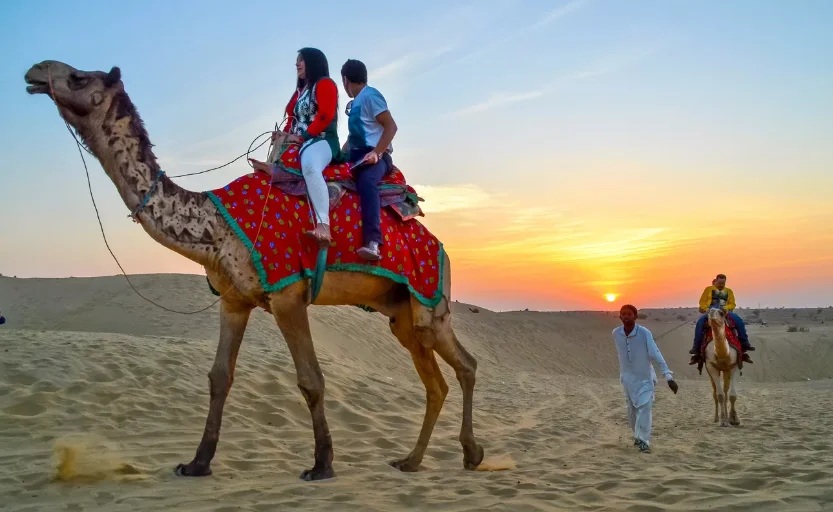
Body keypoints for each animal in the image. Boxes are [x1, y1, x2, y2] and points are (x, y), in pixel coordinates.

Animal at [24, 60, 484, 481]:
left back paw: (470, 453)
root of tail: (440, 247)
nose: (35, 71)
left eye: (79, 77)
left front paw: (322, 465)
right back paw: (412, 460)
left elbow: (311, 379)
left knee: (465, 365)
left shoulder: (287, 295)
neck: (215, 226)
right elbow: (219, 377)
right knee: (437, 382)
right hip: (400, 313)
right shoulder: (234, 300)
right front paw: (197, 463)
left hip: (429, 301)